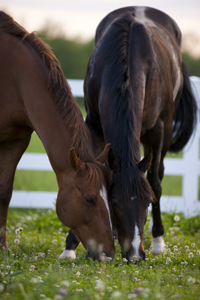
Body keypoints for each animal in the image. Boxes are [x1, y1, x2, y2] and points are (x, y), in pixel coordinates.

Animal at [0, 11, 115, 260]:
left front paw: (2, 248)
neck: (13, 76)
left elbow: (4, 191)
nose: (108, 254)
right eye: (89, 199)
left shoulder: (17, 140)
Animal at [64, 5, 197, 262]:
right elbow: (91, 174)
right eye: (115, 202)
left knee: (158, 174)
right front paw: (71, 246)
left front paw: (157, 242)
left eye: (147, 202)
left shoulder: (156, 131)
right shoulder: (93, 125)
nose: (135, 254)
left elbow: (154, 183)